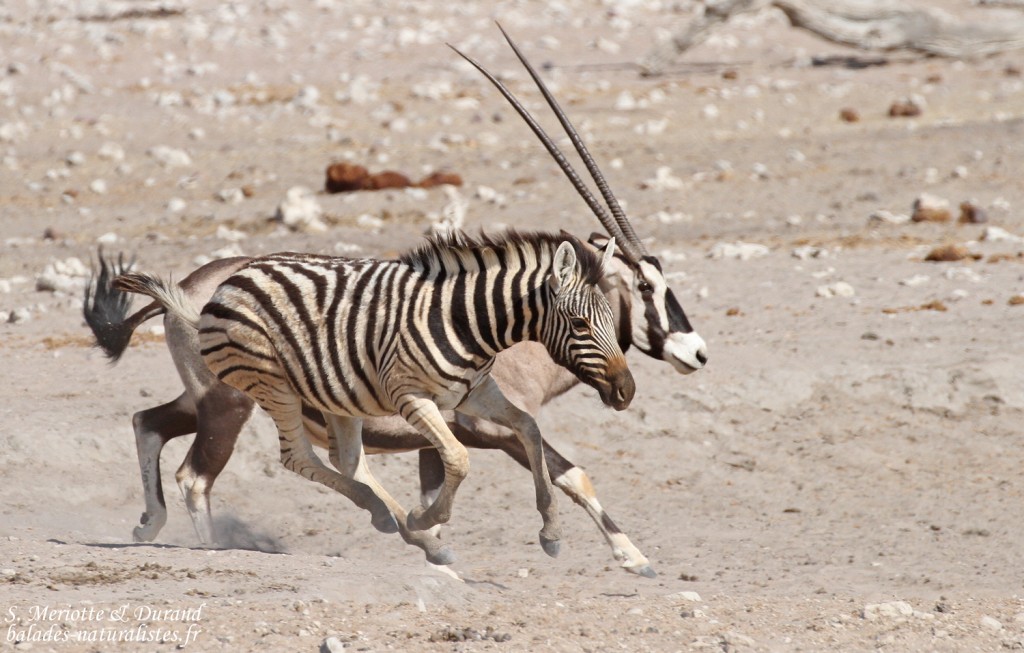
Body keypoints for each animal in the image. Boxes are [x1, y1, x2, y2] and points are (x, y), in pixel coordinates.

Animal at [114, 229, 634, 565]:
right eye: (581, 325)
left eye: (612, 318)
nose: (626, 391)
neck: (466, 323)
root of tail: (225, 282)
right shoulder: (415, 399)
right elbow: (459, 459)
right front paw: (427, 518)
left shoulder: (475, 393)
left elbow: (530, 429)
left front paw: (551, 531)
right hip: (263, 389)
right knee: (289, 458)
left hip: (324, 394)